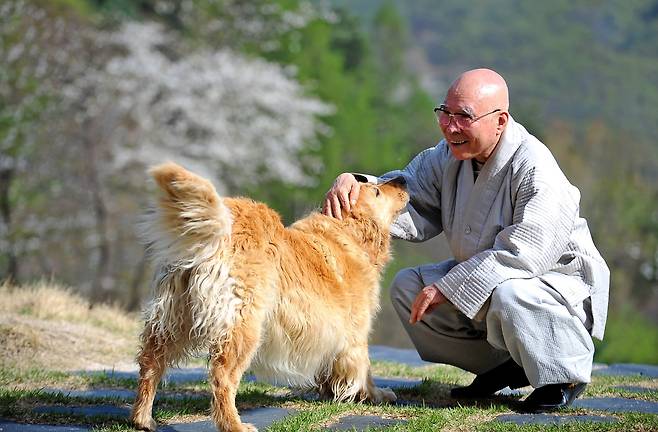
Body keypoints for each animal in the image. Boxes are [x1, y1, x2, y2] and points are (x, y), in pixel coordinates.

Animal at [131, 163, 408, 432]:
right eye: (377, 192)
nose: (403, 179)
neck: (349, 233)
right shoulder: (355, 329)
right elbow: (364, 367)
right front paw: (376, 394)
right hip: (244, 326)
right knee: (222, 377)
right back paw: (234, 425)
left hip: (173, 319)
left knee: (151, 363)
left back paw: (143, 419)